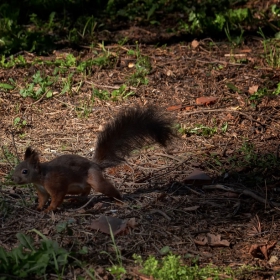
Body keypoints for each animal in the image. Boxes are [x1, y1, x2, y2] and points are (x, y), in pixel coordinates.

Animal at [13, 106, 175, 211]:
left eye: (25, 171)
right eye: (17, 168)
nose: (14, 179)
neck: (41, 176)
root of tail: (95, 164)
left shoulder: (55, 185)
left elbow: (57, 199)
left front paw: (49, 210)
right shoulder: (42, 191)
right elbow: (43, 199)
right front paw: (38, 207)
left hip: (95, 179)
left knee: (100, 188)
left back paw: (118, 199)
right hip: (78, 186)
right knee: (86, 190)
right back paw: (75, 200)